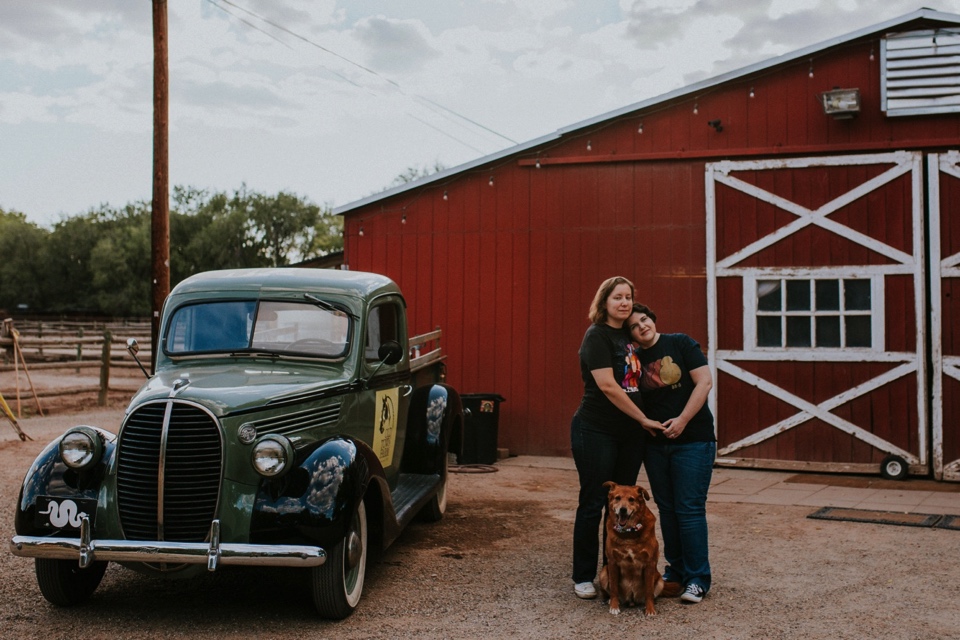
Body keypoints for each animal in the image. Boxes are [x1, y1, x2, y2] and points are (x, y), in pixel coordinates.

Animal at [596, 480, 664, 616]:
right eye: (617, 498)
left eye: (631, 499)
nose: (623, 510)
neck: (628, 533)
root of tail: (631, 600)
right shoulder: (612, 562)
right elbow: (614, 588)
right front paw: (614, 606)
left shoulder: (650, 563)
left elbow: (649, 591)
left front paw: (650, 609)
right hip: (604, 572)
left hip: (660, 581)